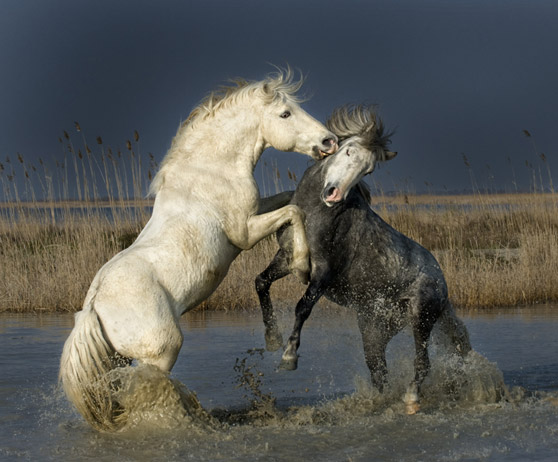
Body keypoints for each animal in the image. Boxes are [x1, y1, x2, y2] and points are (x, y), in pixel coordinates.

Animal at [61, 70, 342, 432]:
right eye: (285, 114)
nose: (329, 142)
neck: (211, 169)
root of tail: (92, 307)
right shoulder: (244, 233)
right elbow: (295, 212)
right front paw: (302, 266)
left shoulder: (256, 211)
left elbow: (289, 200)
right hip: (162, 351)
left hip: (118, 358)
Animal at [258, 104, 472, 412]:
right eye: (347, 151)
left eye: (367, 169)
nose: (333, 195)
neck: (314, 213)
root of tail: (442, 284)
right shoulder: (286, 258)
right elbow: (261, 282)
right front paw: (272, 339)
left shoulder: (323, 272)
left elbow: (302, 307)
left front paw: (289, 357)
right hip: (375, 327)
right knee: (378, 368)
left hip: (421, 318)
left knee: (422, 363)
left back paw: (411, 399)